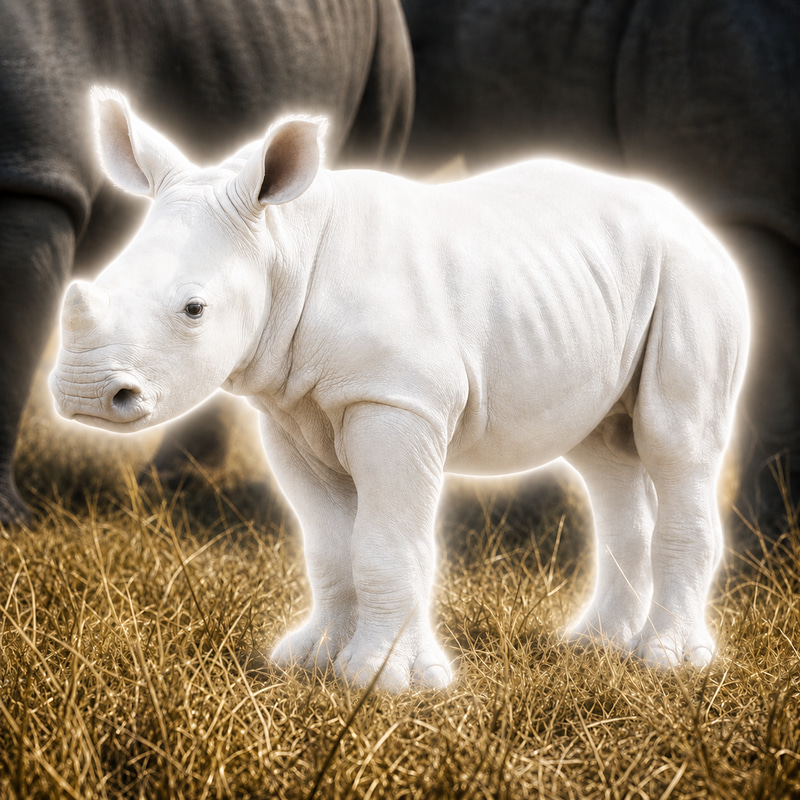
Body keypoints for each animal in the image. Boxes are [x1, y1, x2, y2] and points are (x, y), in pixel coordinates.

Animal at [51, 91, 748, 690]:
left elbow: (386, 544)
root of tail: (699, 222)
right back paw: (595, 646)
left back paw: (668, 662)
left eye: (194, 309)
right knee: (604, 454)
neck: (284, 245)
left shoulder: (395, 400)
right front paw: (312, 661)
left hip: (693, 276)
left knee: (675, 440)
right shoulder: (290, 410)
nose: (85, 394)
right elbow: (330, 548)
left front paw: (383, 682)